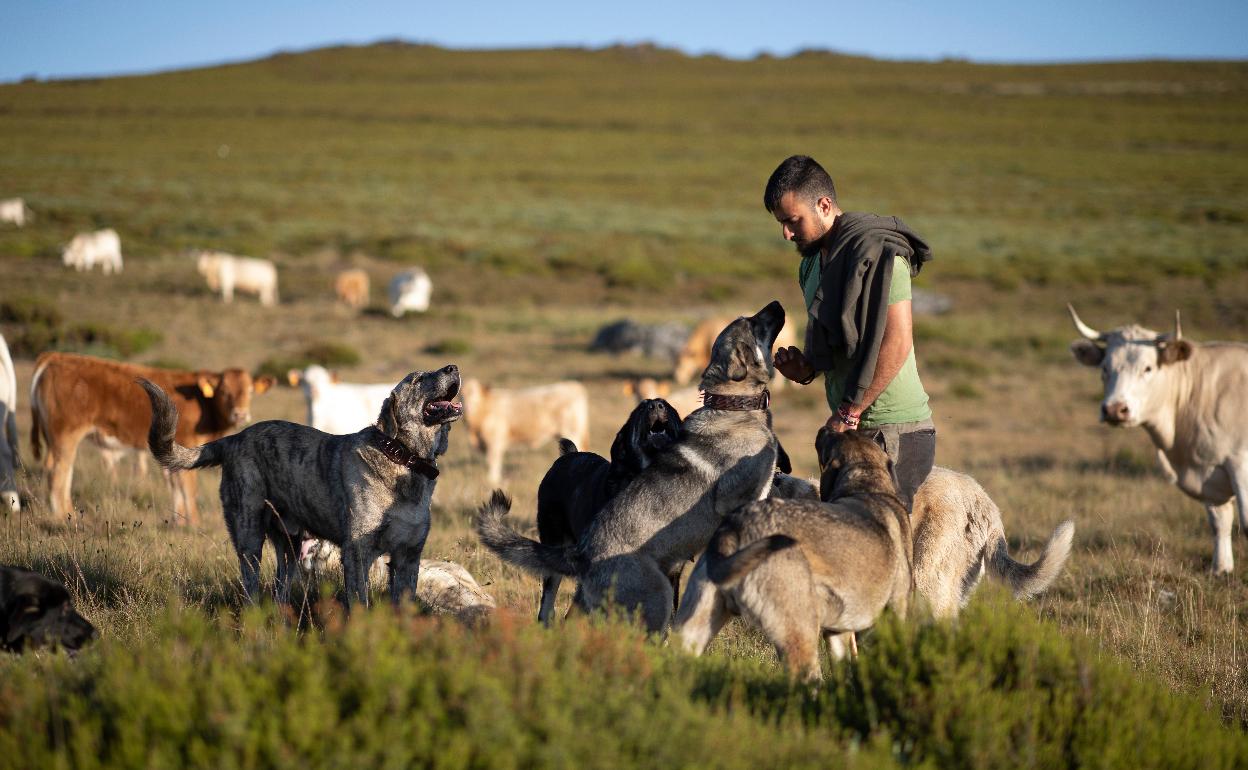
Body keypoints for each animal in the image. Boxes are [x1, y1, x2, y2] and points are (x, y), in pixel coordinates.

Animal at [29, 353, 275, 524]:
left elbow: (175, 485)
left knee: (60, 469)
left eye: (250, 391)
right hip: (66, 434)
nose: (240, 414)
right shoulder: (189, 444)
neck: (203, 403)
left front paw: (178, 521)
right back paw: (63, 515)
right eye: (224, 392)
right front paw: (194, 522)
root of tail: (56, 357)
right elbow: (188, 487)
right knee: (59, 470)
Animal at [1069, 304, 1248, 574]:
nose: (1114, 409)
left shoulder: (1239, 465)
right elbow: (1220, 523)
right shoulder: (1209, 471)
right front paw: (1221, 570)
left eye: (1148, 368)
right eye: (1104, 368)